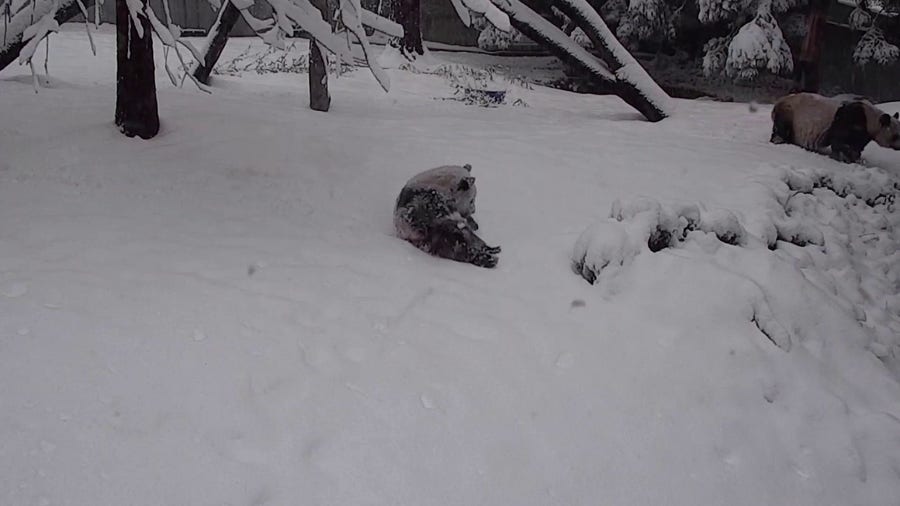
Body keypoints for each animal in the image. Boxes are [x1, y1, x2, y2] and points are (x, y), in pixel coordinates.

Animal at [770, 92, 900, 163]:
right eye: (896, 135)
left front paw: (856, 158)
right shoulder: (850, 120)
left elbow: (857, 145)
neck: (870, 118)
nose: (899, 147)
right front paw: (846, 157)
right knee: (782, 128)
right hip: (789, 111)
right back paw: (779, 140)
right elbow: (840, 141)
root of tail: (778, 102)